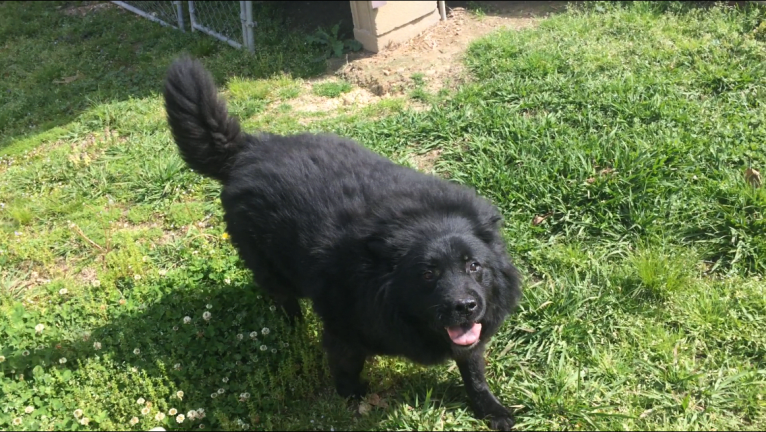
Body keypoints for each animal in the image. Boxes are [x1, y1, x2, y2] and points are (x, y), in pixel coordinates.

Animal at [162, 57, 520, 428]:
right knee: (283, 299)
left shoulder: (470, 332)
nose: (465, 306)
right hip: (270, 265)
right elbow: (346, 364)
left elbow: (473, 368)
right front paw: (353, 396)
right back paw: (293, 331)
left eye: (474, 266)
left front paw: (491, 409)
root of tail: (245, 149)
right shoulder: (344, 328)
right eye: (427, 274)